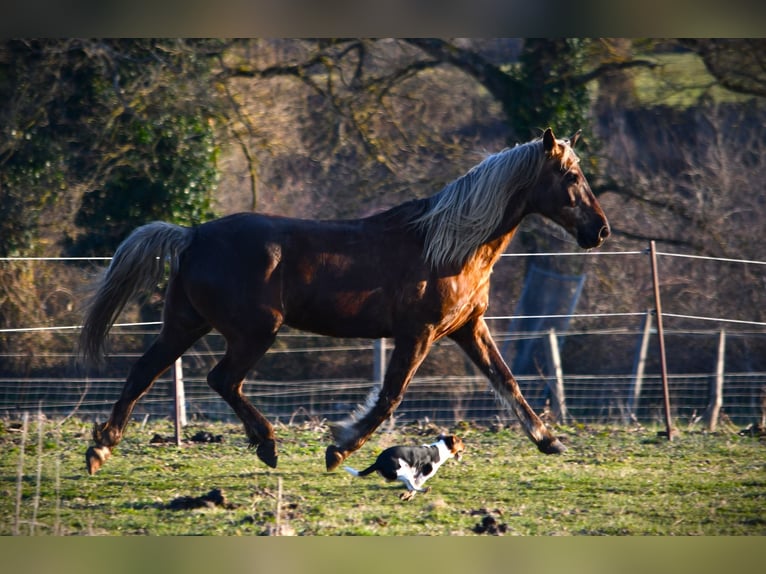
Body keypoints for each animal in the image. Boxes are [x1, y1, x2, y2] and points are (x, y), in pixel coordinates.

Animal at [79, 127, 610, 475]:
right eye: (570, 175)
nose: (600, 231)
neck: (449, 246)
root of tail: (191, 235)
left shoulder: (467, 327)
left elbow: (508, 381)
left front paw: (549, 441)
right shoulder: (418, 334)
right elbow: (390, 395)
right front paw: (339, 449)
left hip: (186, 324)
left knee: (144, 373)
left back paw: (102, 449)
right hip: (254, 332)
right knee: (221, 379)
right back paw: (266, 445)